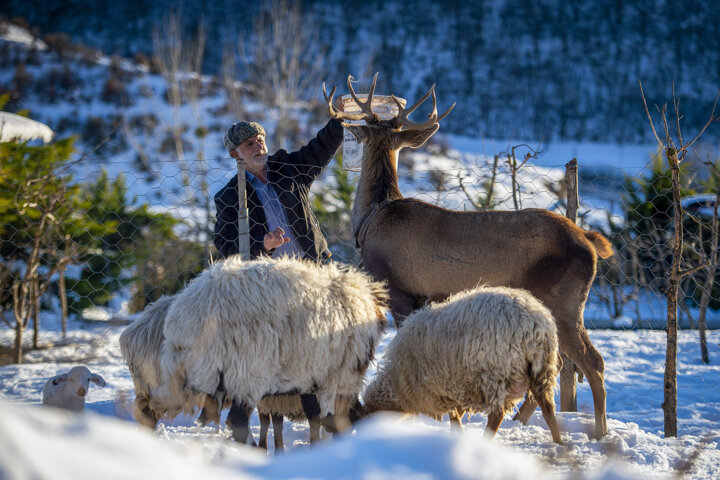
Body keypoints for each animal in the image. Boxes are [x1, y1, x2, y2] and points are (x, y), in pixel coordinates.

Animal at [153, 256, 388, 444]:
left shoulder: (308, 373)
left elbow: (316, 417)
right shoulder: (331, 376)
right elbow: (330, 421)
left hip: (217, 377)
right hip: (246, 373)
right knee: (237, 422)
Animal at [366, 284, 564, 446]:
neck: (398, 383)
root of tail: (534, 324)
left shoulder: (444, 387)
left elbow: (454, 415)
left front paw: (457, 433)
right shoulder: (458, 386)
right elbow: (457, 413)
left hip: (495, 374)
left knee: (496, 415)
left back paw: (485, 442)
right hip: (542, 370)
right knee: (548, 407)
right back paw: (559, 442)